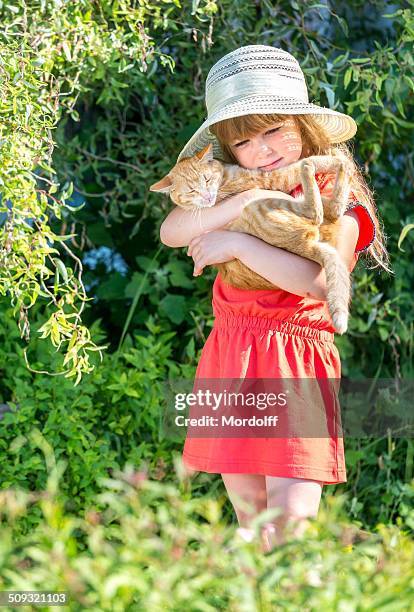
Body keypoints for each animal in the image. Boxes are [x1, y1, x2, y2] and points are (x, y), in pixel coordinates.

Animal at [150, 144, 354, 334]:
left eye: (207, 179)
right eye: (192, 191)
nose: (208, 197)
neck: (224, 177)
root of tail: (306, 245)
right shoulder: (270, 178)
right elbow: (301, 164)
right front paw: (331, 160)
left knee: (333, 210)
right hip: (263, 205)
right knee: (319, 210)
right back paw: (323, 166)